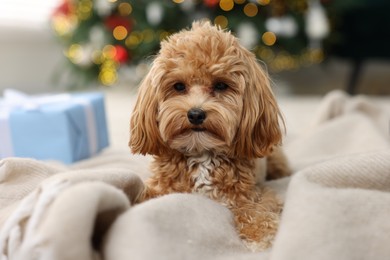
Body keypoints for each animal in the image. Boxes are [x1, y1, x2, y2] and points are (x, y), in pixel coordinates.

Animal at [130, 21, 290, 251]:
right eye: (179, 86)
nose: (196, 114)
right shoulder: (162, 187)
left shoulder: (253, 194)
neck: (201, 152)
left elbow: (255, 211)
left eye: (220, 85)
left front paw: (261, 236)